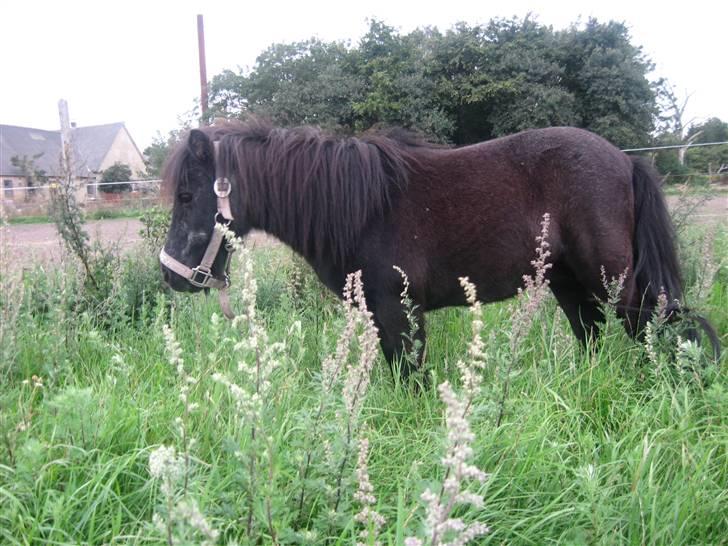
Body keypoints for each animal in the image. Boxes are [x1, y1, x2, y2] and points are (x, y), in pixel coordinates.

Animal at [158, 119, 716, 374]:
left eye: (187, 195)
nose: (170, 275)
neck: (361, 208)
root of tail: (625, 160)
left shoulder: (400, 311)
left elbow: (411, 375)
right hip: (570, 284)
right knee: (594, 337)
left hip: (615, 282)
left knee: (656, 330)